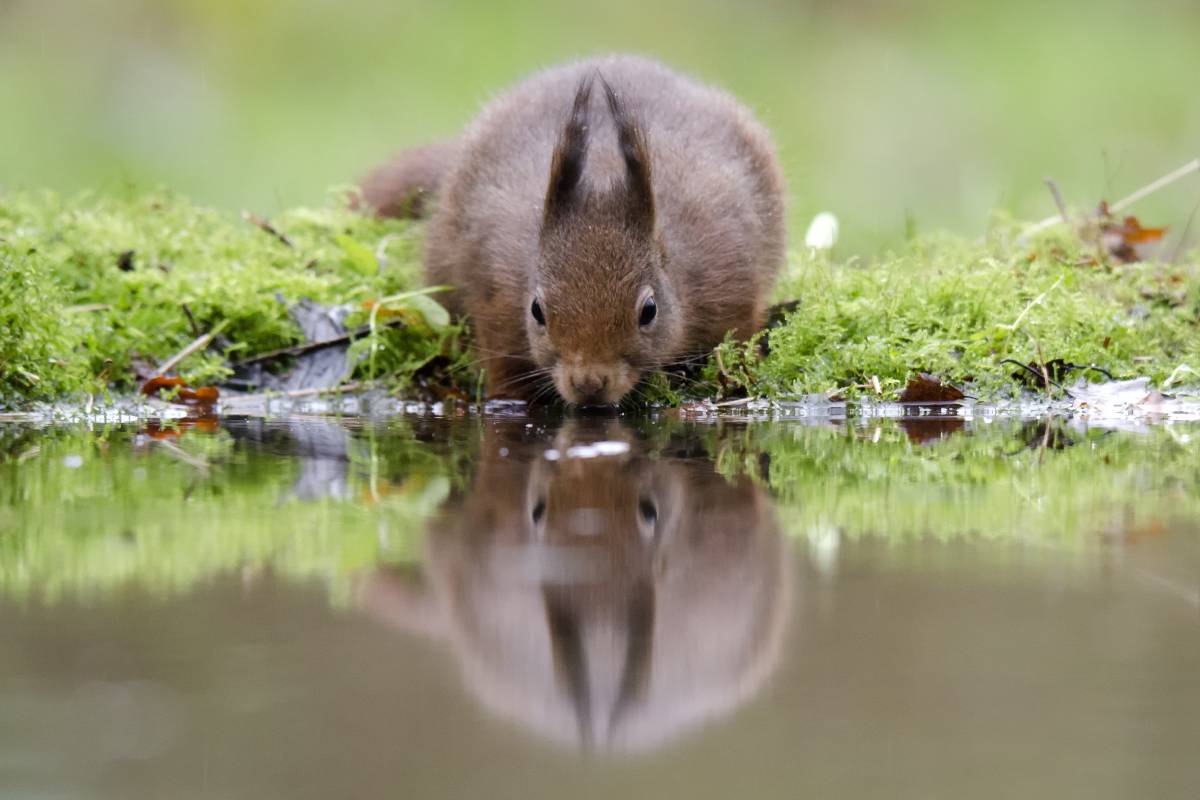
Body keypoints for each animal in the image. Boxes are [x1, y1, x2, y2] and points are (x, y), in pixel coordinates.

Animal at [360, 55, 786, 405]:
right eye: (536, 310)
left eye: (649, 311)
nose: (589, 384)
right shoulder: (496, 293)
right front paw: (510, 402)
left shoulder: (729, 277)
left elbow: (738, 334)